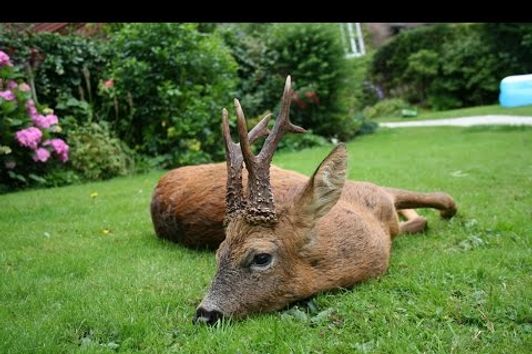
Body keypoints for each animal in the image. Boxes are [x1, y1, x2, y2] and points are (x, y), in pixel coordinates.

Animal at [150, 76, 458, 324]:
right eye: (219, 252)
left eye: (261, 257)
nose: (205, 314)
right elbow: (427, 213)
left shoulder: (374, 190)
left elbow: (444, 197)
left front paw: (439, 213)